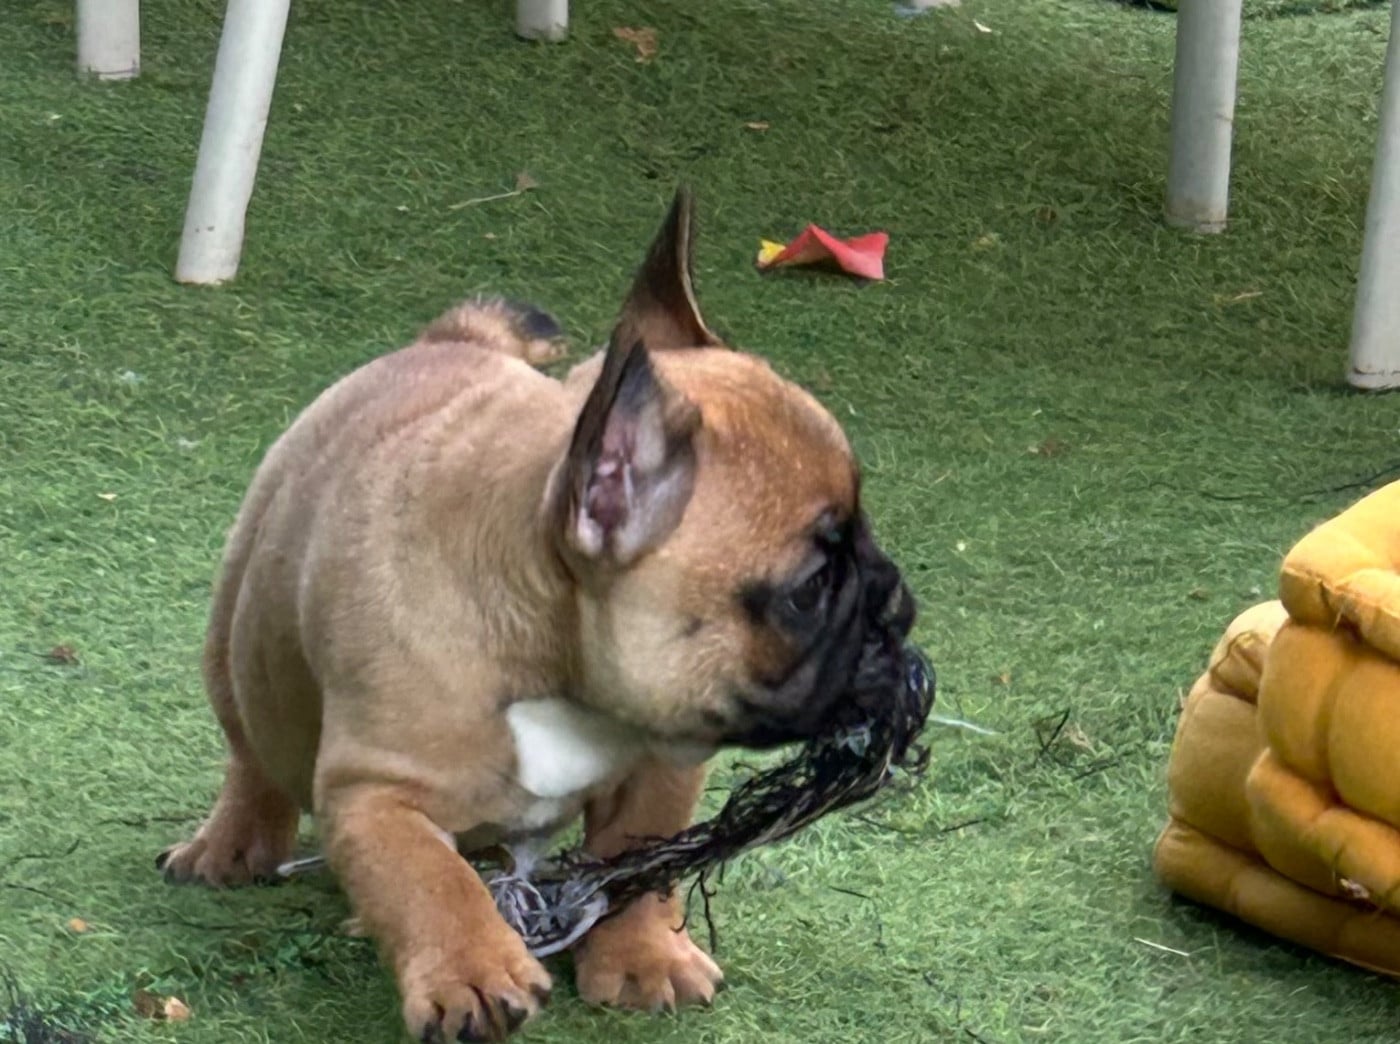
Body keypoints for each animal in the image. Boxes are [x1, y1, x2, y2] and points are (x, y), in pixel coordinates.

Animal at [159, 188, 918, 1042]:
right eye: (809, 586)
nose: (896, 600)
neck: (557, 662)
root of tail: (446, 340)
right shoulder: (375, 791)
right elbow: (425, 879)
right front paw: (471, 970)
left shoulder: (661, 770)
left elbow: (638, 863)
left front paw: (644, 957)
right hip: (238, 634)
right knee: (252, 753)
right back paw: (230, 847)